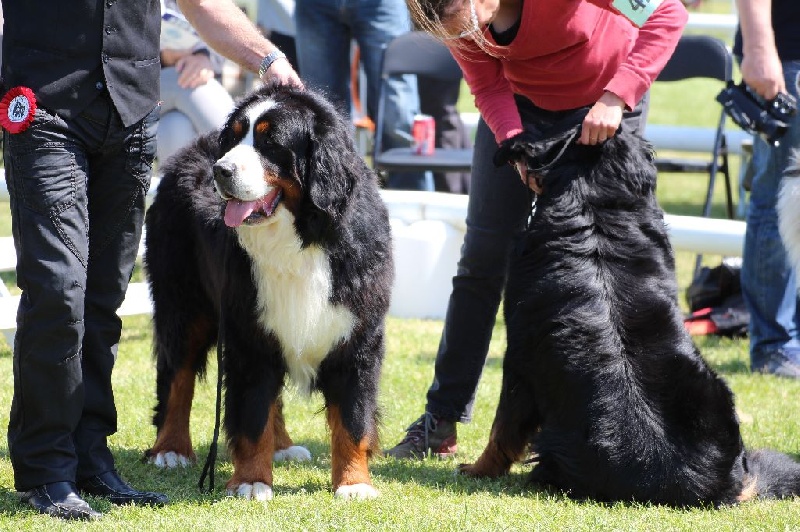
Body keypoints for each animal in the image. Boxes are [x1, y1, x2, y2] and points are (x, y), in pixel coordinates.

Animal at [143, 84, 393, 500]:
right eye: (235, 138)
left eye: (270, 142)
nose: (221, 170)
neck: (302, 239)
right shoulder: (248, 334)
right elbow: (251, 414)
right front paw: (251, 480)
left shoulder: (356, 336)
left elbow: (353, 418)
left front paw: (354, 483)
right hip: (183, 305)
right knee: (177, 377)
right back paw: (171, 449)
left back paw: (283, 446)